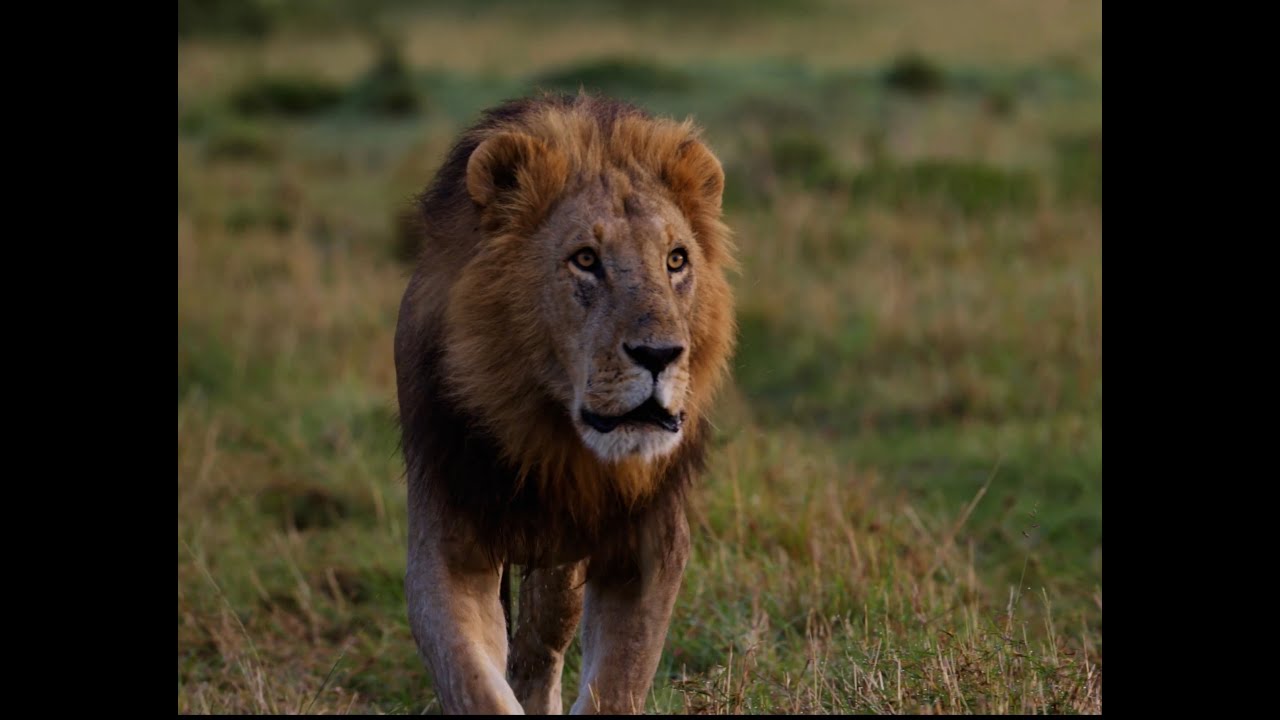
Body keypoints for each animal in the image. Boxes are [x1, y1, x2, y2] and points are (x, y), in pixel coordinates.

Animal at [394, 92, 735, 715]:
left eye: (676, 260)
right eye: (585, 259)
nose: (660, 354)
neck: (550, 437)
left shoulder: (651, 548)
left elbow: (618, 684)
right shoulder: (448, 546)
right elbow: (475, 683)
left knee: (543, 634)